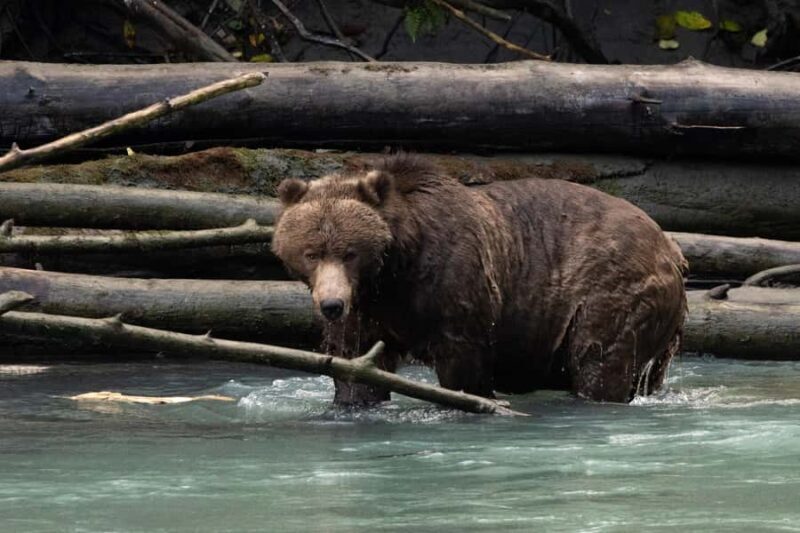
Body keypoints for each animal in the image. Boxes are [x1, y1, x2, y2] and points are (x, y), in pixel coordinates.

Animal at [271, 154, 687, 406]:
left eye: (349, 252)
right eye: (311, 253)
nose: (331, 304)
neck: (395, 270)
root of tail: (671, 247)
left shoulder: (454, 282)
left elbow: (463, 360)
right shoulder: (369, 306)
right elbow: (356, 361)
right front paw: (354, 399)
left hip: (609, 287)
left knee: (599, 358)